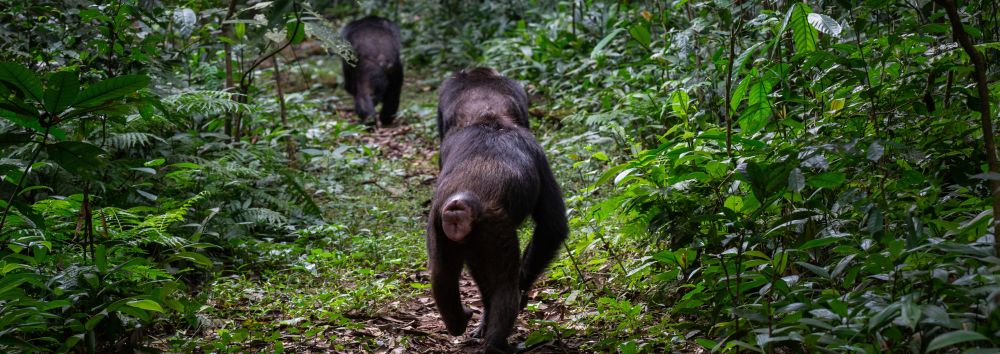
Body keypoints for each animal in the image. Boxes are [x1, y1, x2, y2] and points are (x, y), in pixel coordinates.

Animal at [424, 68, 572, 352]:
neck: (487, 115)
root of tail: (460, 204)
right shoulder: (538, 153)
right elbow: (552, 225)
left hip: (438, 224)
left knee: (442, 277)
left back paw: (461, 320)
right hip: (495, 228)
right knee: (504, 285)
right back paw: (497, 342)